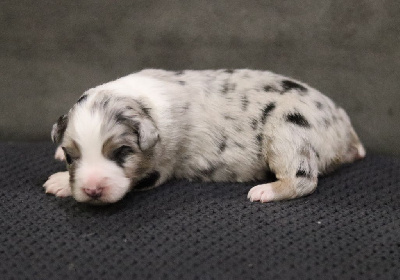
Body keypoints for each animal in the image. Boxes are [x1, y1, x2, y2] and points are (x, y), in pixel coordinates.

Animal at [43, 69, 366, 205]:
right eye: (71, 156)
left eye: (122, 152)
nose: (92, 190)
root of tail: (344, 126)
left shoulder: (157, 169)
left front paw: (59, 182)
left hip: (288, 130)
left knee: (303, 179)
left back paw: (265, 190)